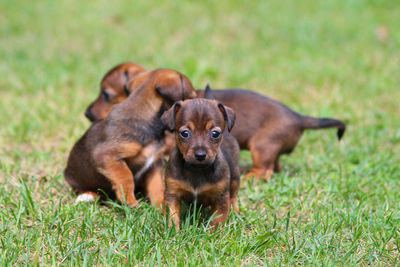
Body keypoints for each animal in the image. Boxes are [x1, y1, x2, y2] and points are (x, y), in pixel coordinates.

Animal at [64, 68, 197, 207]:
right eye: (192, 97)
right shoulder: (107, 156)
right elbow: (126, 176)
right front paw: (129, 200)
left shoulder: (154, 164)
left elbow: (157, 186)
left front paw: (161, 206)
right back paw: (87, 195)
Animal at [161, 88, 239, 230]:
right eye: (185, 133)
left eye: (215, 134)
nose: (200, 155)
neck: (196, 170)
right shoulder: (172, 194)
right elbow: (172, 216)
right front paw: (171, 231)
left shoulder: (220, 197)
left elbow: (218, 220)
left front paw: (215, 233)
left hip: (235, 176)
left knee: (234, 194)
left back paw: (235, 210)